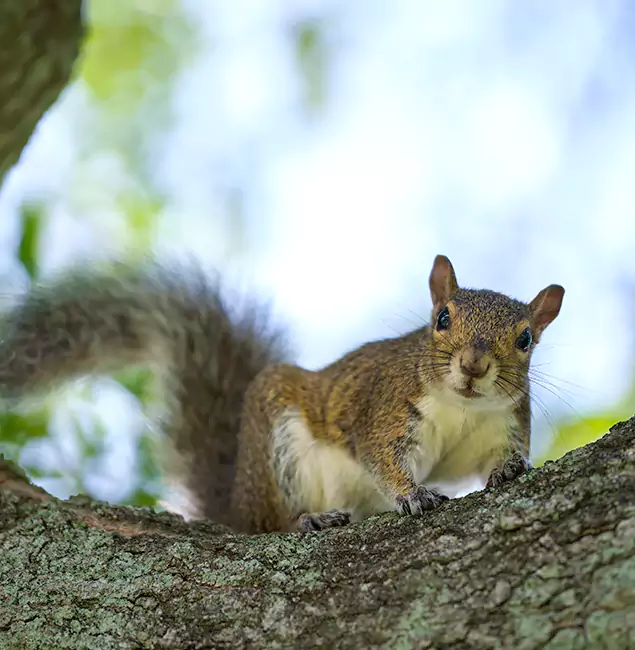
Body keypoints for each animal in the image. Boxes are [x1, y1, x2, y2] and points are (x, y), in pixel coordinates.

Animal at [0, 255, 564, 534]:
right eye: (442, 318)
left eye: (525, 339)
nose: (473, 365)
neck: (460, 407)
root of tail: (236, 508)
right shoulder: (383, 410)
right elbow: (381, 457)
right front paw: (412, 493)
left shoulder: (501, 423)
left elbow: (491, 459)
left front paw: (509, 469)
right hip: (279, 451)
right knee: (270, 524)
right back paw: (306, 519)